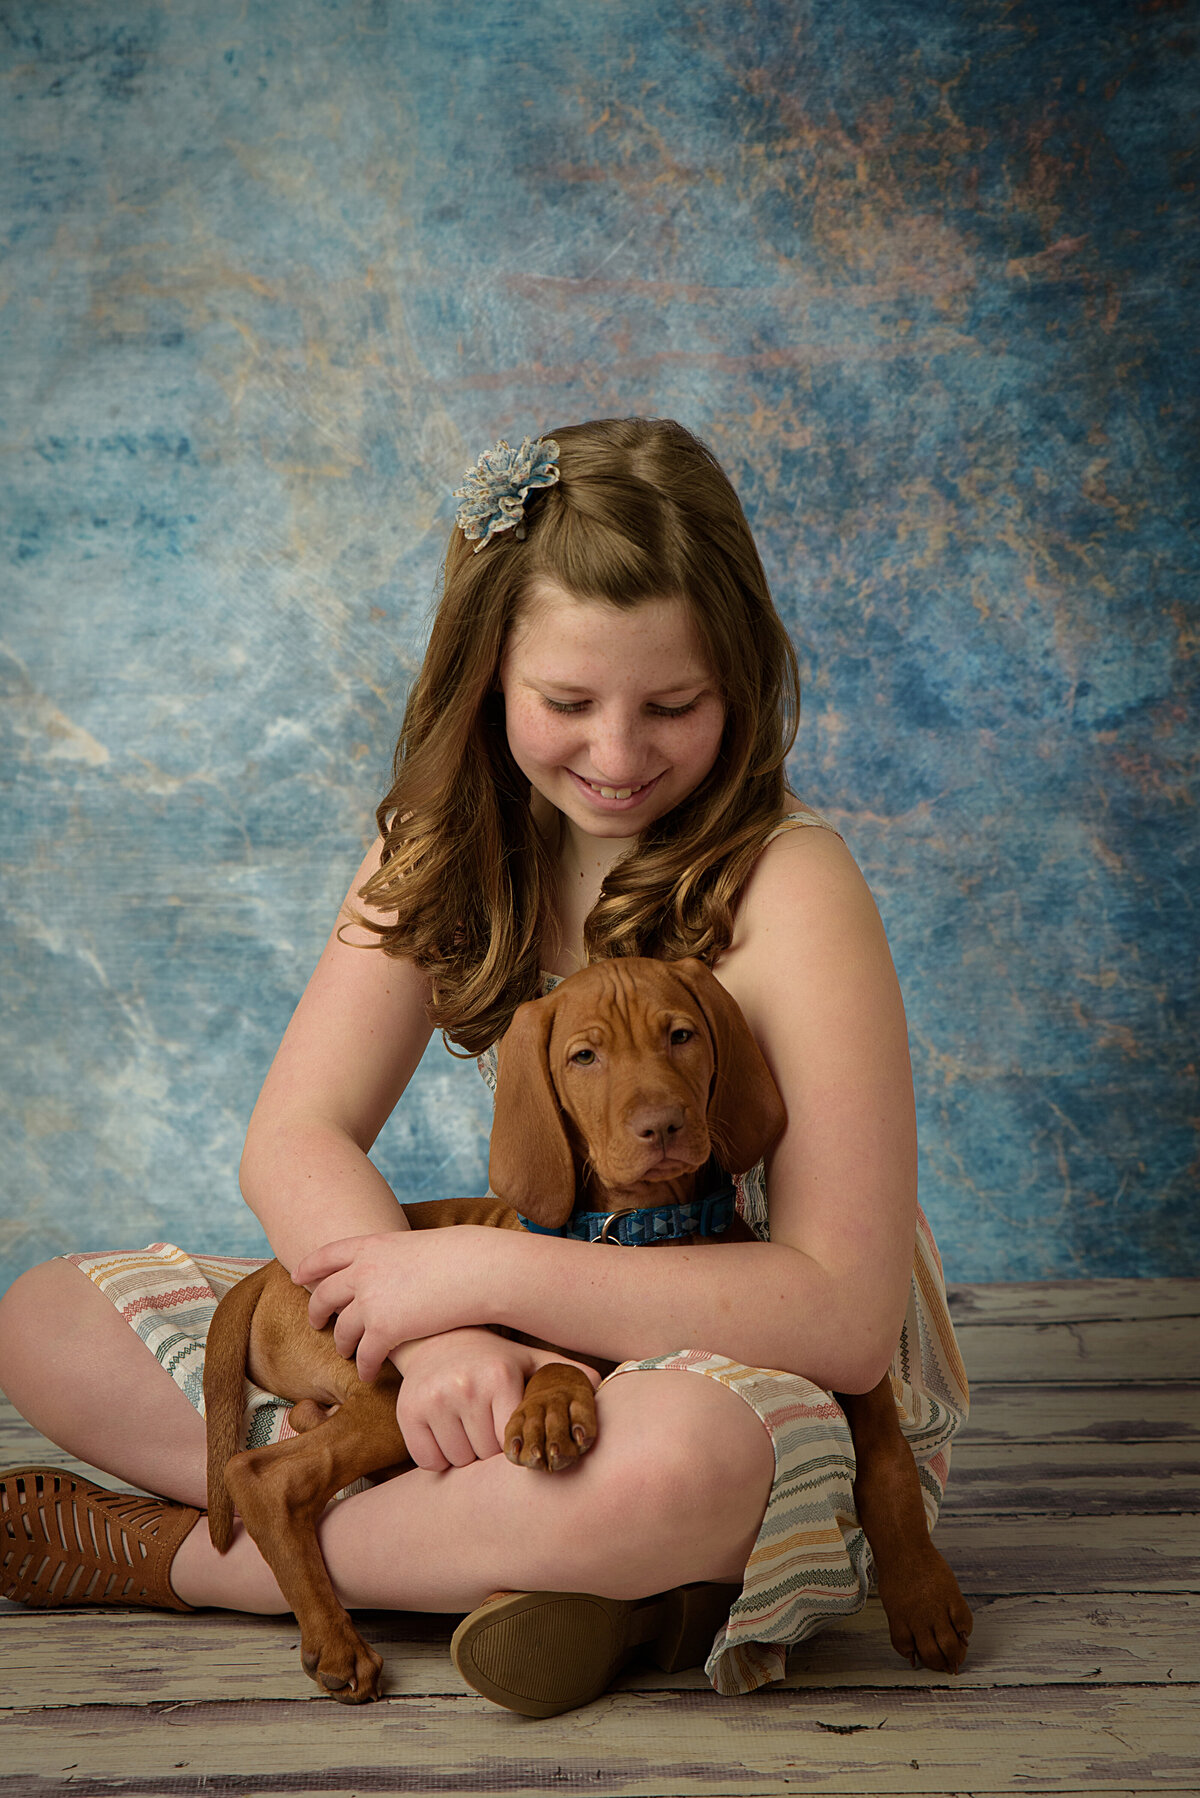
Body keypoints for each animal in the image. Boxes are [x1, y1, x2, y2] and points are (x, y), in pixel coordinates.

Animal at [206, 956, 971, 1697]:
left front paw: (923, 1594)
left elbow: (887, 1459)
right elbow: (553, 1357)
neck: (649, 1229)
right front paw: (549, 1410)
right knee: (264, 1475)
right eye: (584, 1057)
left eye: (681, 1036)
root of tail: (269, 1270)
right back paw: (336, 1641)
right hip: (394, 1392)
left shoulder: (839, 1357)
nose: (661, 1125)